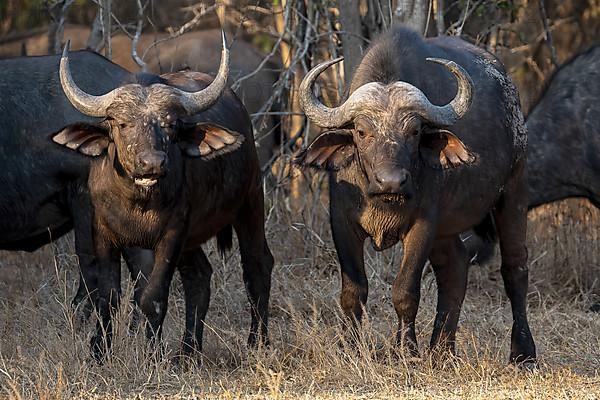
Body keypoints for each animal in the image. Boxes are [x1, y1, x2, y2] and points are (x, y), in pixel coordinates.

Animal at [298, 26, 536, 366]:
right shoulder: (341, 222)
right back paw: (441, 351)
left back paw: (523, 353)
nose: (391, 181)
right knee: (455, 267)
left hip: (514, 190)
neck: (382, 199)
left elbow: (405, 291)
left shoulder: (423, 224)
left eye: (413, 132)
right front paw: (350, 348)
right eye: (361, 132)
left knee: (514, 268)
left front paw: (406, 351)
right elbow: (353, 290)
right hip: (447, 230)